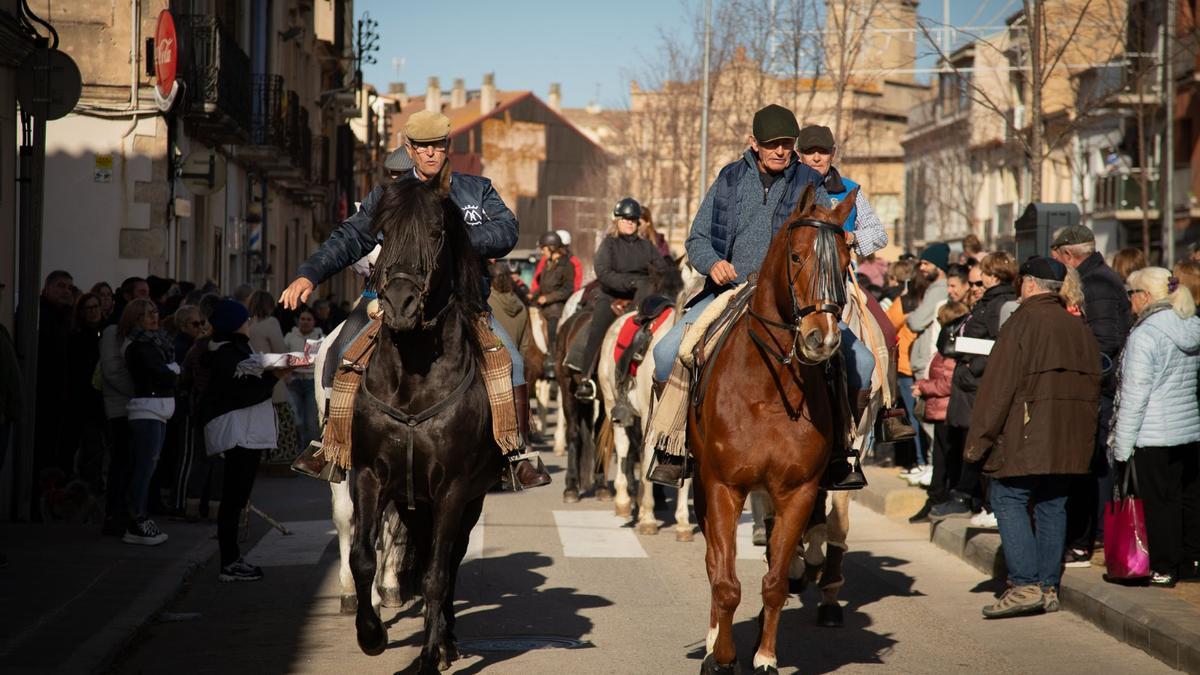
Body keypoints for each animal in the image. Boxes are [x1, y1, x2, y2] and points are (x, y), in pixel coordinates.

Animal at [348, 170, 501, 667]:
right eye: (382, 233)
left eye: (436, 234)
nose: (400, 304)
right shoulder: (370, 476)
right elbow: (363, 556)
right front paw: (371, 635)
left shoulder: (453, 488)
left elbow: (437, 574)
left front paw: (428, 658)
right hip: (414, 503)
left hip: (467, 501)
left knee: (449, 563)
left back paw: (447, 641)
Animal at [696, 184, 854, 672]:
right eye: (798, 256)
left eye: (847, 261)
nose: (822, 338)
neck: (769, 388)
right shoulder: (723, 486)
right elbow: (726, 582)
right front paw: (722, 656)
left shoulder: (798, 492)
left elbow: (776, 582)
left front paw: (764, 656)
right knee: (714, 564)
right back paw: (712, 640)